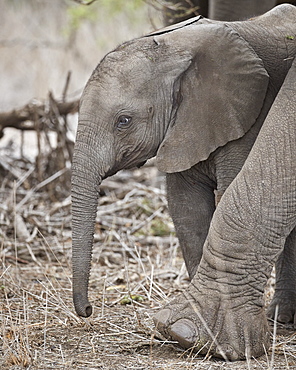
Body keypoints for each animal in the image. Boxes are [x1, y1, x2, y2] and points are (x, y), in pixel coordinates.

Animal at [71, 4, 296, 360]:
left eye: (124, 121)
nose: (89, 310)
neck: (174, 51)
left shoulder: (246, 116)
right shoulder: (183, 127)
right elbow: (185, 209)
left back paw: (280, 319)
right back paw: (280, 318)